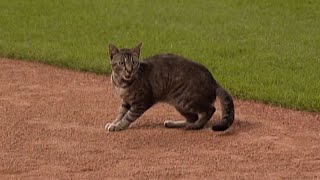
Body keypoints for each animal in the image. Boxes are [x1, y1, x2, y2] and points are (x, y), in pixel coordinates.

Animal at [106, 43, 234, 131]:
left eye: (133, 63)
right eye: (122, 63)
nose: (129, 70)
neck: (121, 84)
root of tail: (213, 79)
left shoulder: (141, 102)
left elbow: (127, 116)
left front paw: (118, 126)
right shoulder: (126, 101)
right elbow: (120, 113)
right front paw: (114, 123)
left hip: (187, 100)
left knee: (210, 110)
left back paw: (196, 126)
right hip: (180, 104)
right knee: (192, 118)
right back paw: (175, 123)